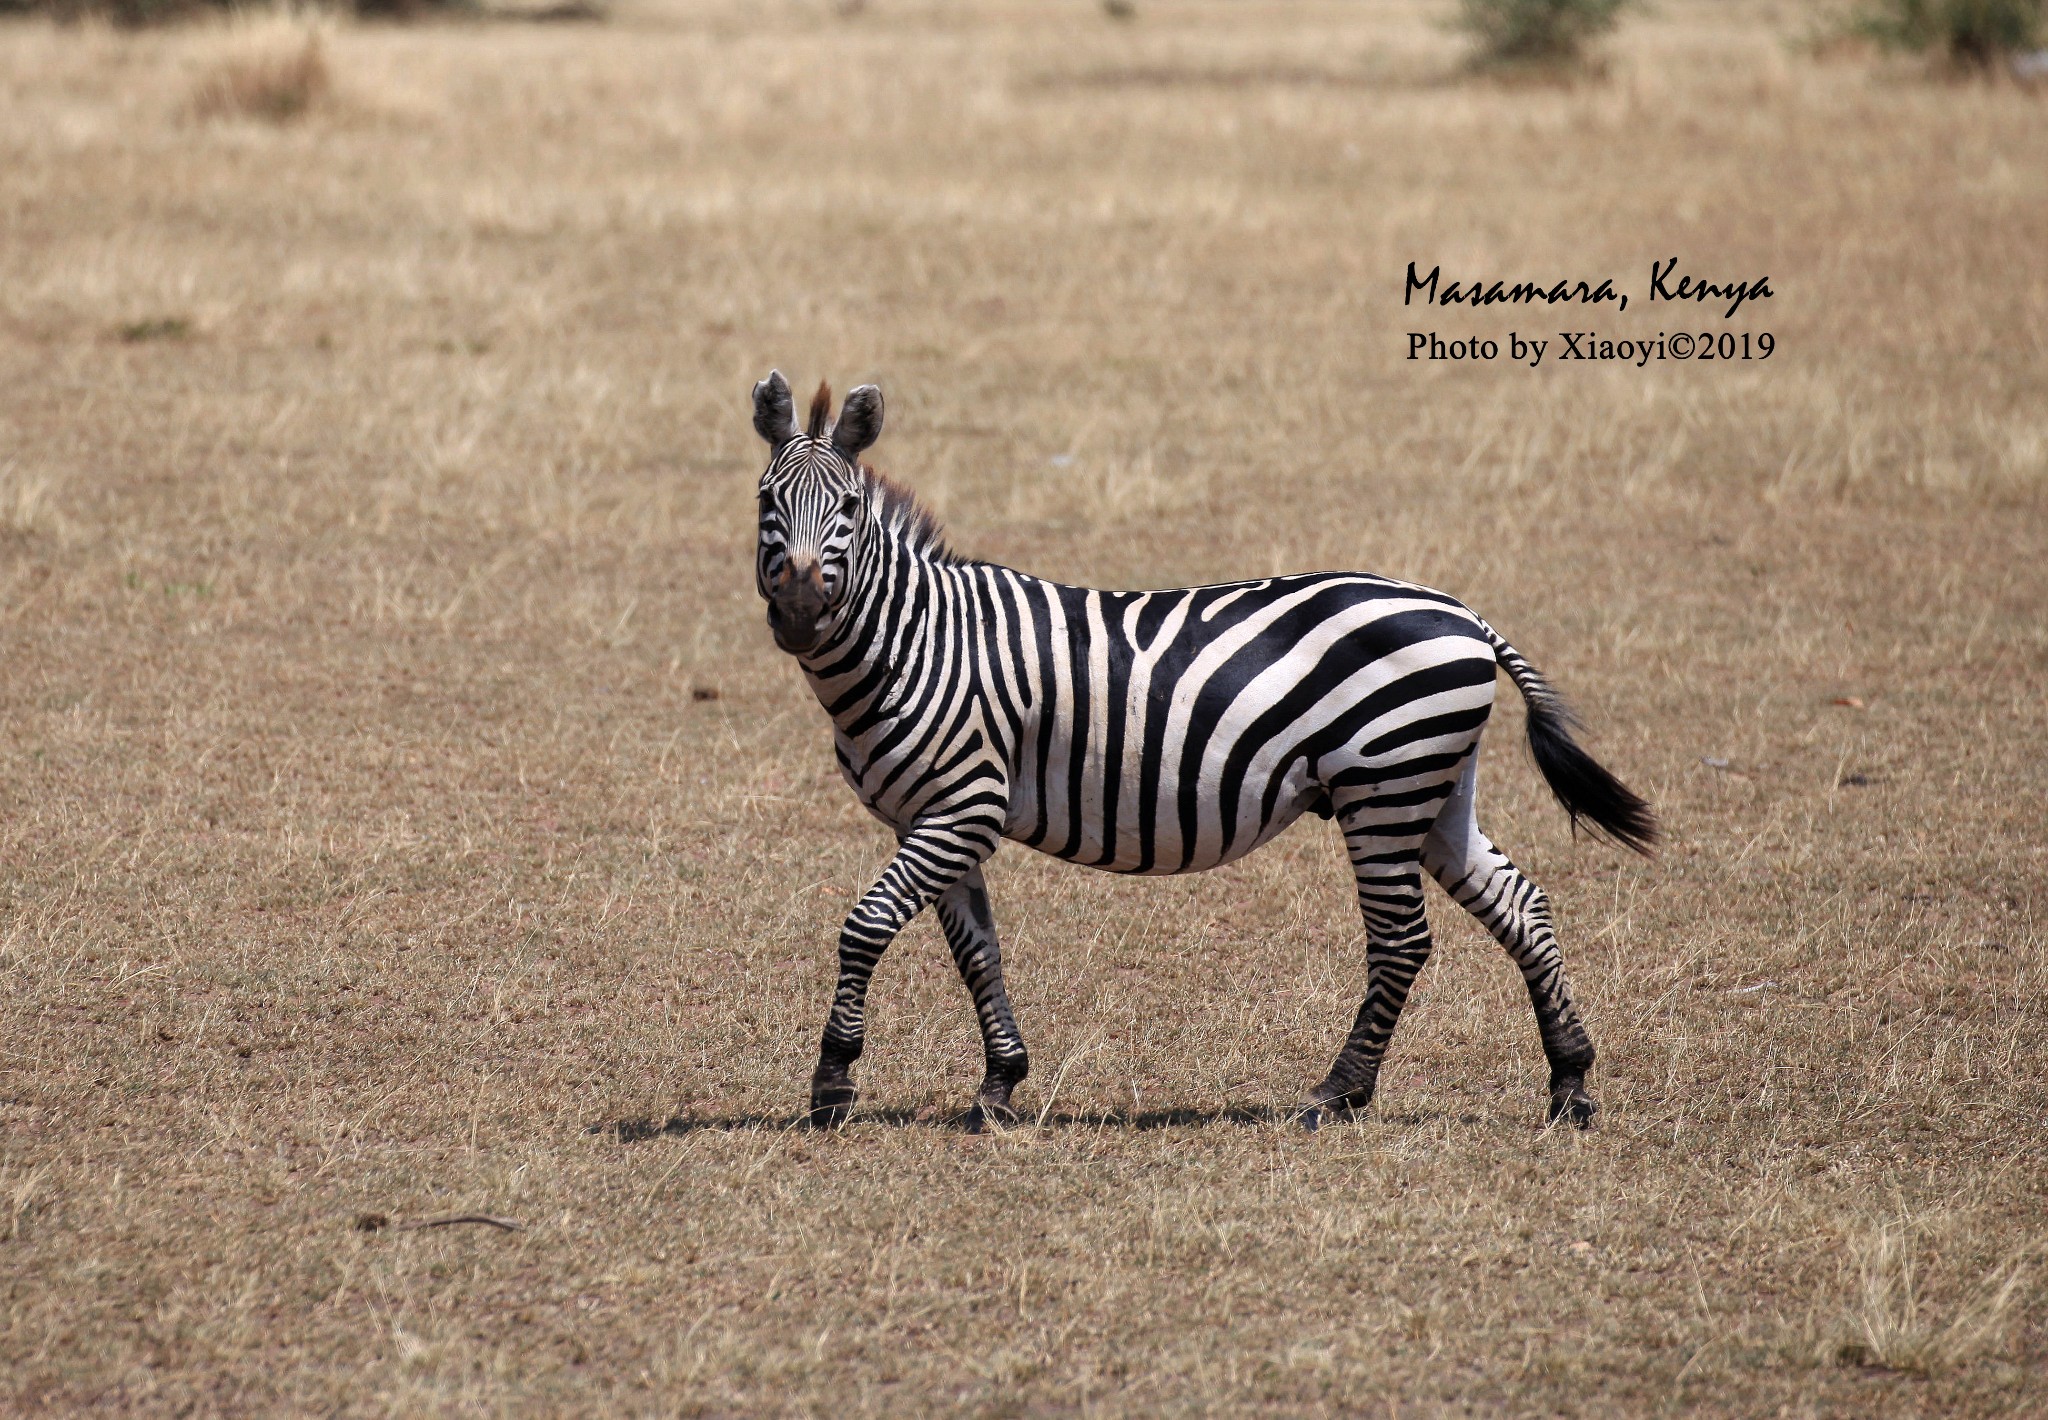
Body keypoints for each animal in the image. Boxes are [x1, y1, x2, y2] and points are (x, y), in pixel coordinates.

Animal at [745, 370, 1654, 1122]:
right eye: (765, 504)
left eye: (849, 513)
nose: (798, 610)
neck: (918, 641)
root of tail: (1465, 613)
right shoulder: (936, 819)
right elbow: (979, 954)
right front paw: (1000, 1085)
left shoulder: (964, 805)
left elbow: (865, 926)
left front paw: (833, 1084)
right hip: (1431, 787)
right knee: (1522, 906)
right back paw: (1570, 1083)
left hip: (1383, 786)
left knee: (1401, 941)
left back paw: (1338, 1094)